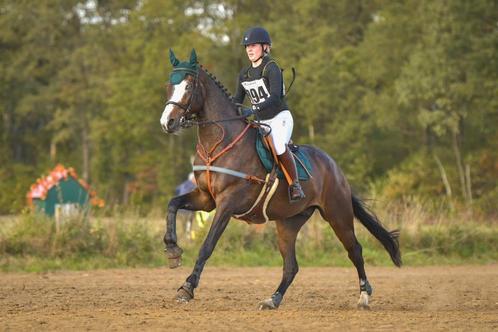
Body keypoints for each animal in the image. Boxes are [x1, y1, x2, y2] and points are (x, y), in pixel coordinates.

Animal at [160, 48, 400, 308]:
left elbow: (207, 245)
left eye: (188, 85)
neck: (219, 142)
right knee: (291, 266)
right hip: (288, 222)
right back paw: (273, 299)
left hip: (337, 213)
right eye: (169, 86)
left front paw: (187, 287)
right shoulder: (206, 199)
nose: (167, 122)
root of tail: (334, 167)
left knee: (354, 250)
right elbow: (172, 204)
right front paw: (172, 250)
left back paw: (364, 295)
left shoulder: (227, 203)